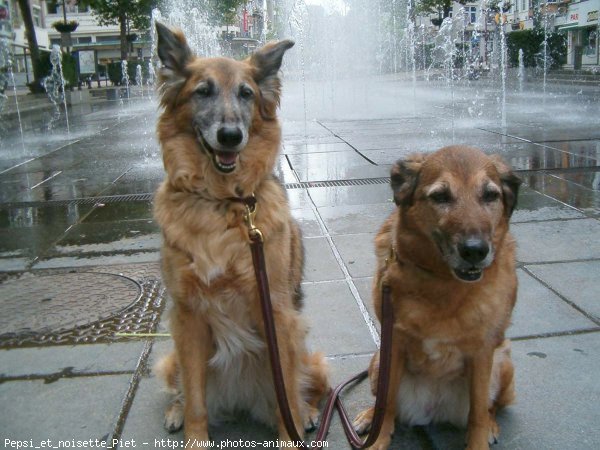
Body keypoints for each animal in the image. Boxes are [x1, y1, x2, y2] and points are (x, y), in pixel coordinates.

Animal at [150, 22, 328, 448]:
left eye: (246, 93)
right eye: (202, 91)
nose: (230, 135)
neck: (222, 201)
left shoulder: (278, 312)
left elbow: (287, 394)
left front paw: (290, 436)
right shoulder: (187, 317)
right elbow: (196, 397)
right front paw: (195, 436)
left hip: (307, 349)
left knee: (305, 388)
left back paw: (310, 413)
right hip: (173, 356)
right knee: (183, 389)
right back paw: (176, 410)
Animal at [354, 146, 516, 448]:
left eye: (490, 195)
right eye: (440, 196)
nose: (475, 250)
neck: (442, 281)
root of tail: (432, 410)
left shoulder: (483, 352)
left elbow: (478, 411)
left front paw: (479, 439)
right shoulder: (393, 342)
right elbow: (387, 400)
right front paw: (378, 437)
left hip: (503, 362)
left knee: (490, 406)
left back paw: (490, 425)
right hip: (377, 361)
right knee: (385, 400)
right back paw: (370, 417)